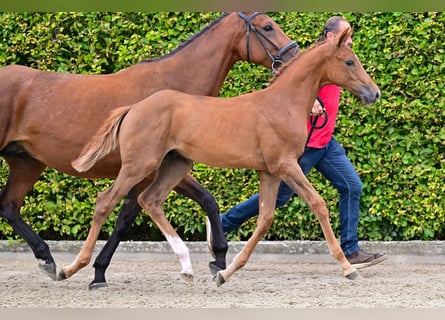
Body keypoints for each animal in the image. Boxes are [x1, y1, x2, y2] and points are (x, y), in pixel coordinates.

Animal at [0, 12, 298, 288]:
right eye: (267, 26)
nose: (294, 54)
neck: (172, 88)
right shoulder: (146, 171)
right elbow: (125, 219)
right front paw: (98, 273)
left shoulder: (165, 167)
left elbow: (208, 200)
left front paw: (219, 260)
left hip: (27, 162)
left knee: (9, 207)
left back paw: (47, 260)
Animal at [72, 28, 378, 286]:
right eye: (349, 62)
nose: (374, 93)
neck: (280, 104)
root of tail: (134, 107)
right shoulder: (286, 165)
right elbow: (318, 204)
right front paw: (348, 267)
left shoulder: (269, 171)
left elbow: (265, 218)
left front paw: (225, 273)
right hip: (138, 166)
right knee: (106, 201)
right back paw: (73, 268)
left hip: (175, 164)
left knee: (150, 200)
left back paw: (186, 267)